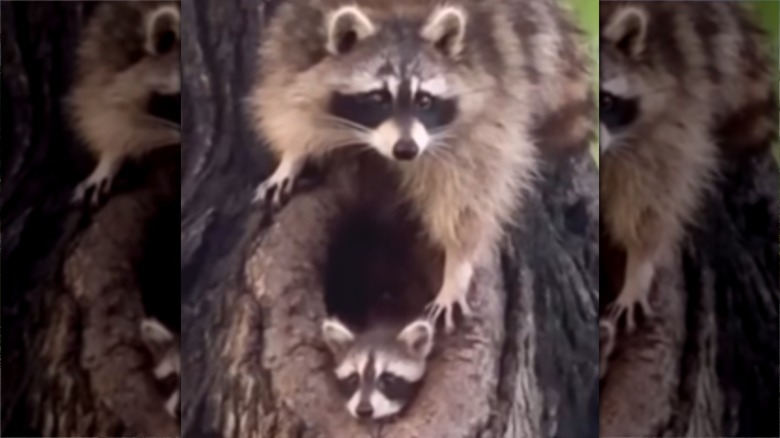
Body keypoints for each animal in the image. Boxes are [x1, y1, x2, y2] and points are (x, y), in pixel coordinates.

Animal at [251, 0, 594, 331]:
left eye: (424, 101)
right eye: (378, 98)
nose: (406, 149)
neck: (397, 16)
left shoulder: (487, 97)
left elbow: (471, 190)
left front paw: (457, 265)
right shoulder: (296, 45)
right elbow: (288, 103)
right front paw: (292, 156)